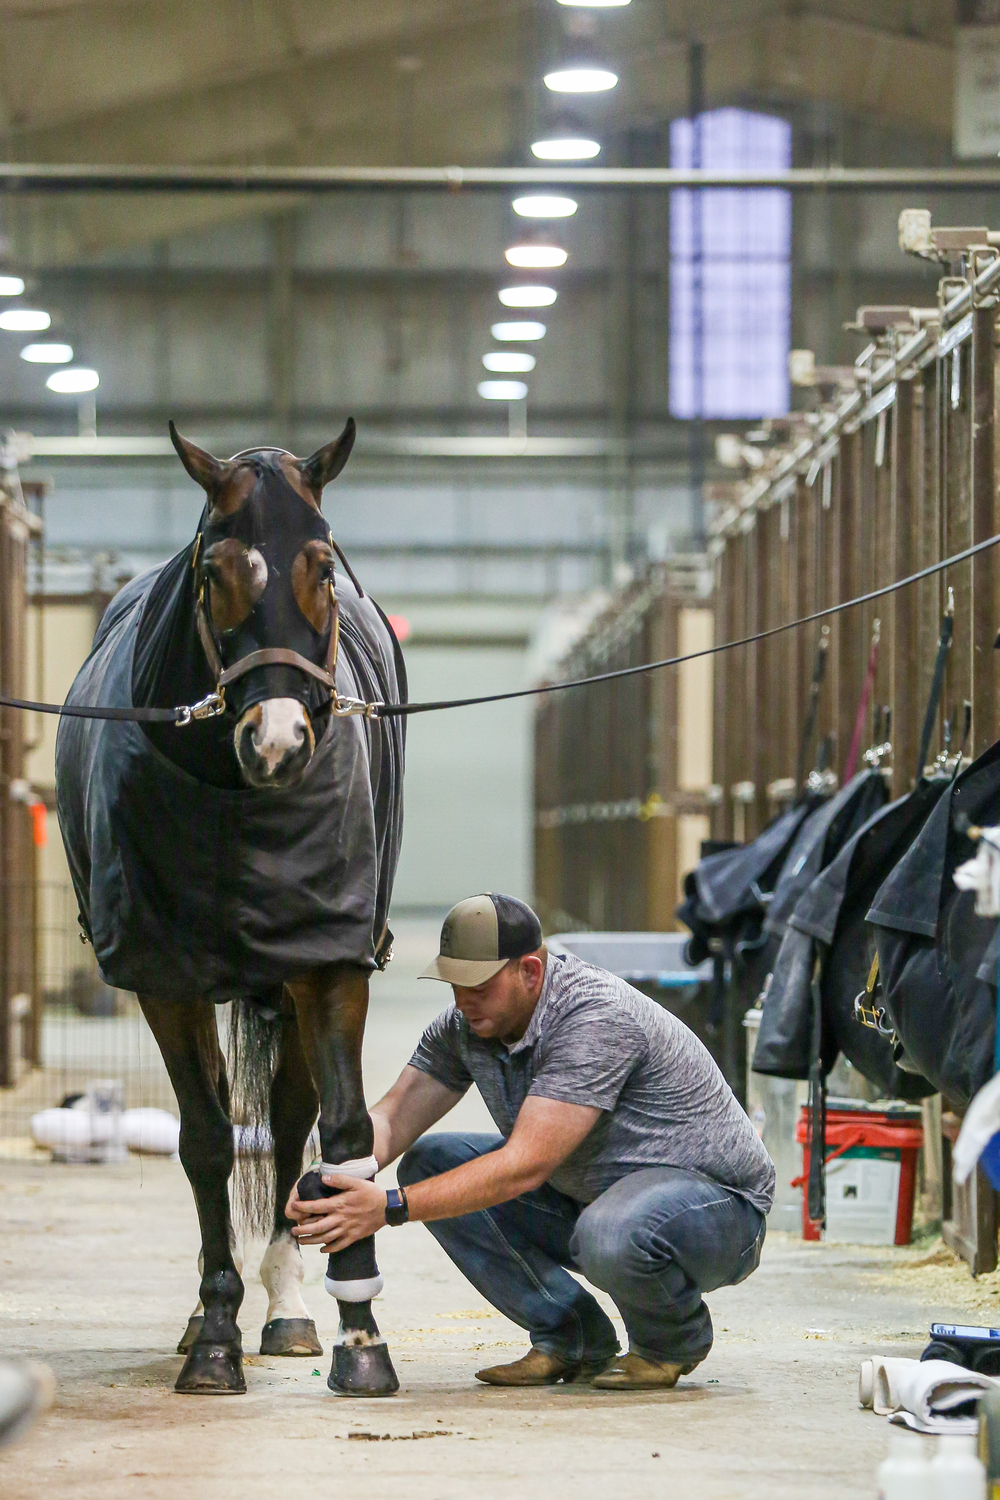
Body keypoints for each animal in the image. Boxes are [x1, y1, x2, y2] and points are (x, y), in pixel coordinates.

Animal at [53, 420, 407, 1392]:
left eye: (322, 564)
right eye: (213, 571)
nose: (277, 742)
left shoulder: (327, 962)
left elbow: (342, 1131)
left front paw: (362, 1339)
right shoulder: (166, 978)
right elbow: (208, 1140)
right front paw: (214, 1333)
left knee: (287, 1123)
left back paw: (288, 1308)